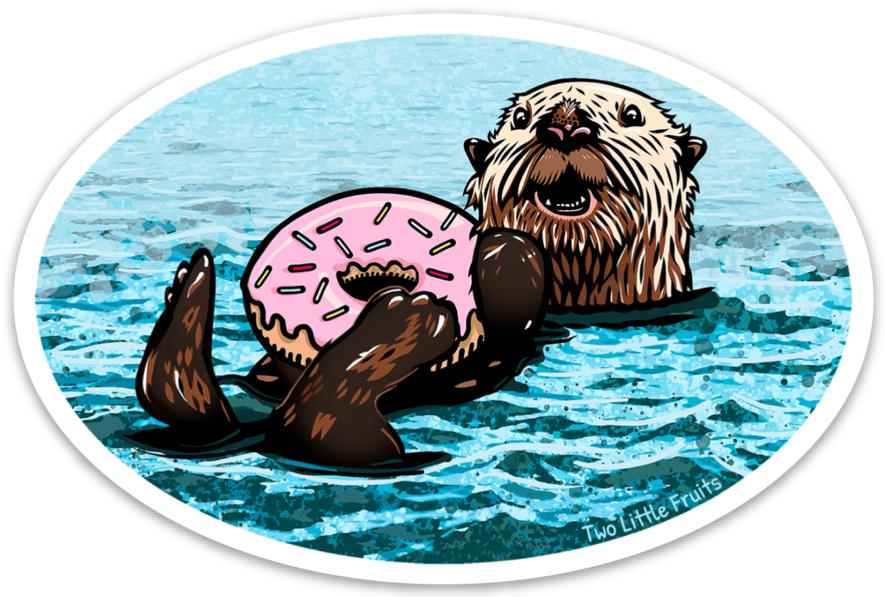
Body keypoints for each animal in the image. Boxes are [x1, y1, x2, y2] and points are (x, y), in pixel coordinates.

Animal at [133, 79, 705, 473]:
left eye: (630, 115)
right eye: (523, 117)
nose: (564, 127)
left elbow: (516, 288)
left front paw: (499, 250)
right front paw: (498, 248)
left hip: (356, 431)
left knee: (325, 432)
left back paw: (396, 322)